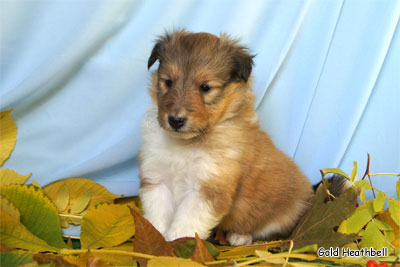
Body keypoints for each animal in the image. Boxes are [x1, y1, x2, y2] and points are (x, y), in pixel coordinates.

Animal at [139, 31, 314, 247]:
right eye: (168, 82)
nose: (176, 120)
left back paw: (240, 236)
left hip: (282, 214)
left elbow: (184, 227)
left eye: (205, 87)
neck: (187, 143)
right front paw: (155, 245)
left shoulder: (207, 190)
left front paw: (175, 246)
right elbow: (156, 219)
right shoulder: (158, 180)